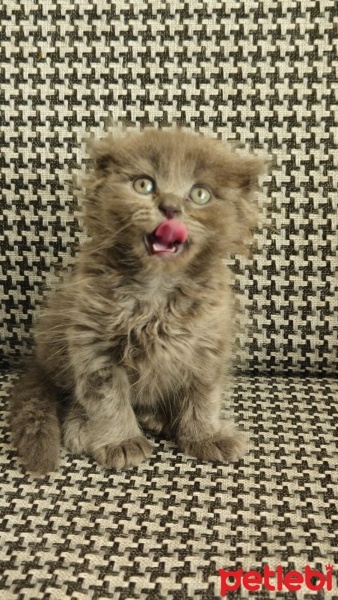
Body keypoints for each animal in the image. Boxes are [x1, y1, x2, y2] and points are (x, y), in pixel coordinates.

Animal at [9, 129, 264, 476]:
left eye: (200, 194)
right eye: (144, 185)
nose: (170, 207)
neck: (157, 290)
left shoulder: (208, 345)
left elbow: (203, 396)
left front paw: (205, 436)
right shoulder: (94, 344)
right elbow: (107, 400)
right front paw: (120, 442)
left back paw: (158, 418)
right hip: (59, 338)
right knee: (75, 397)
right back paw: (82, 427)